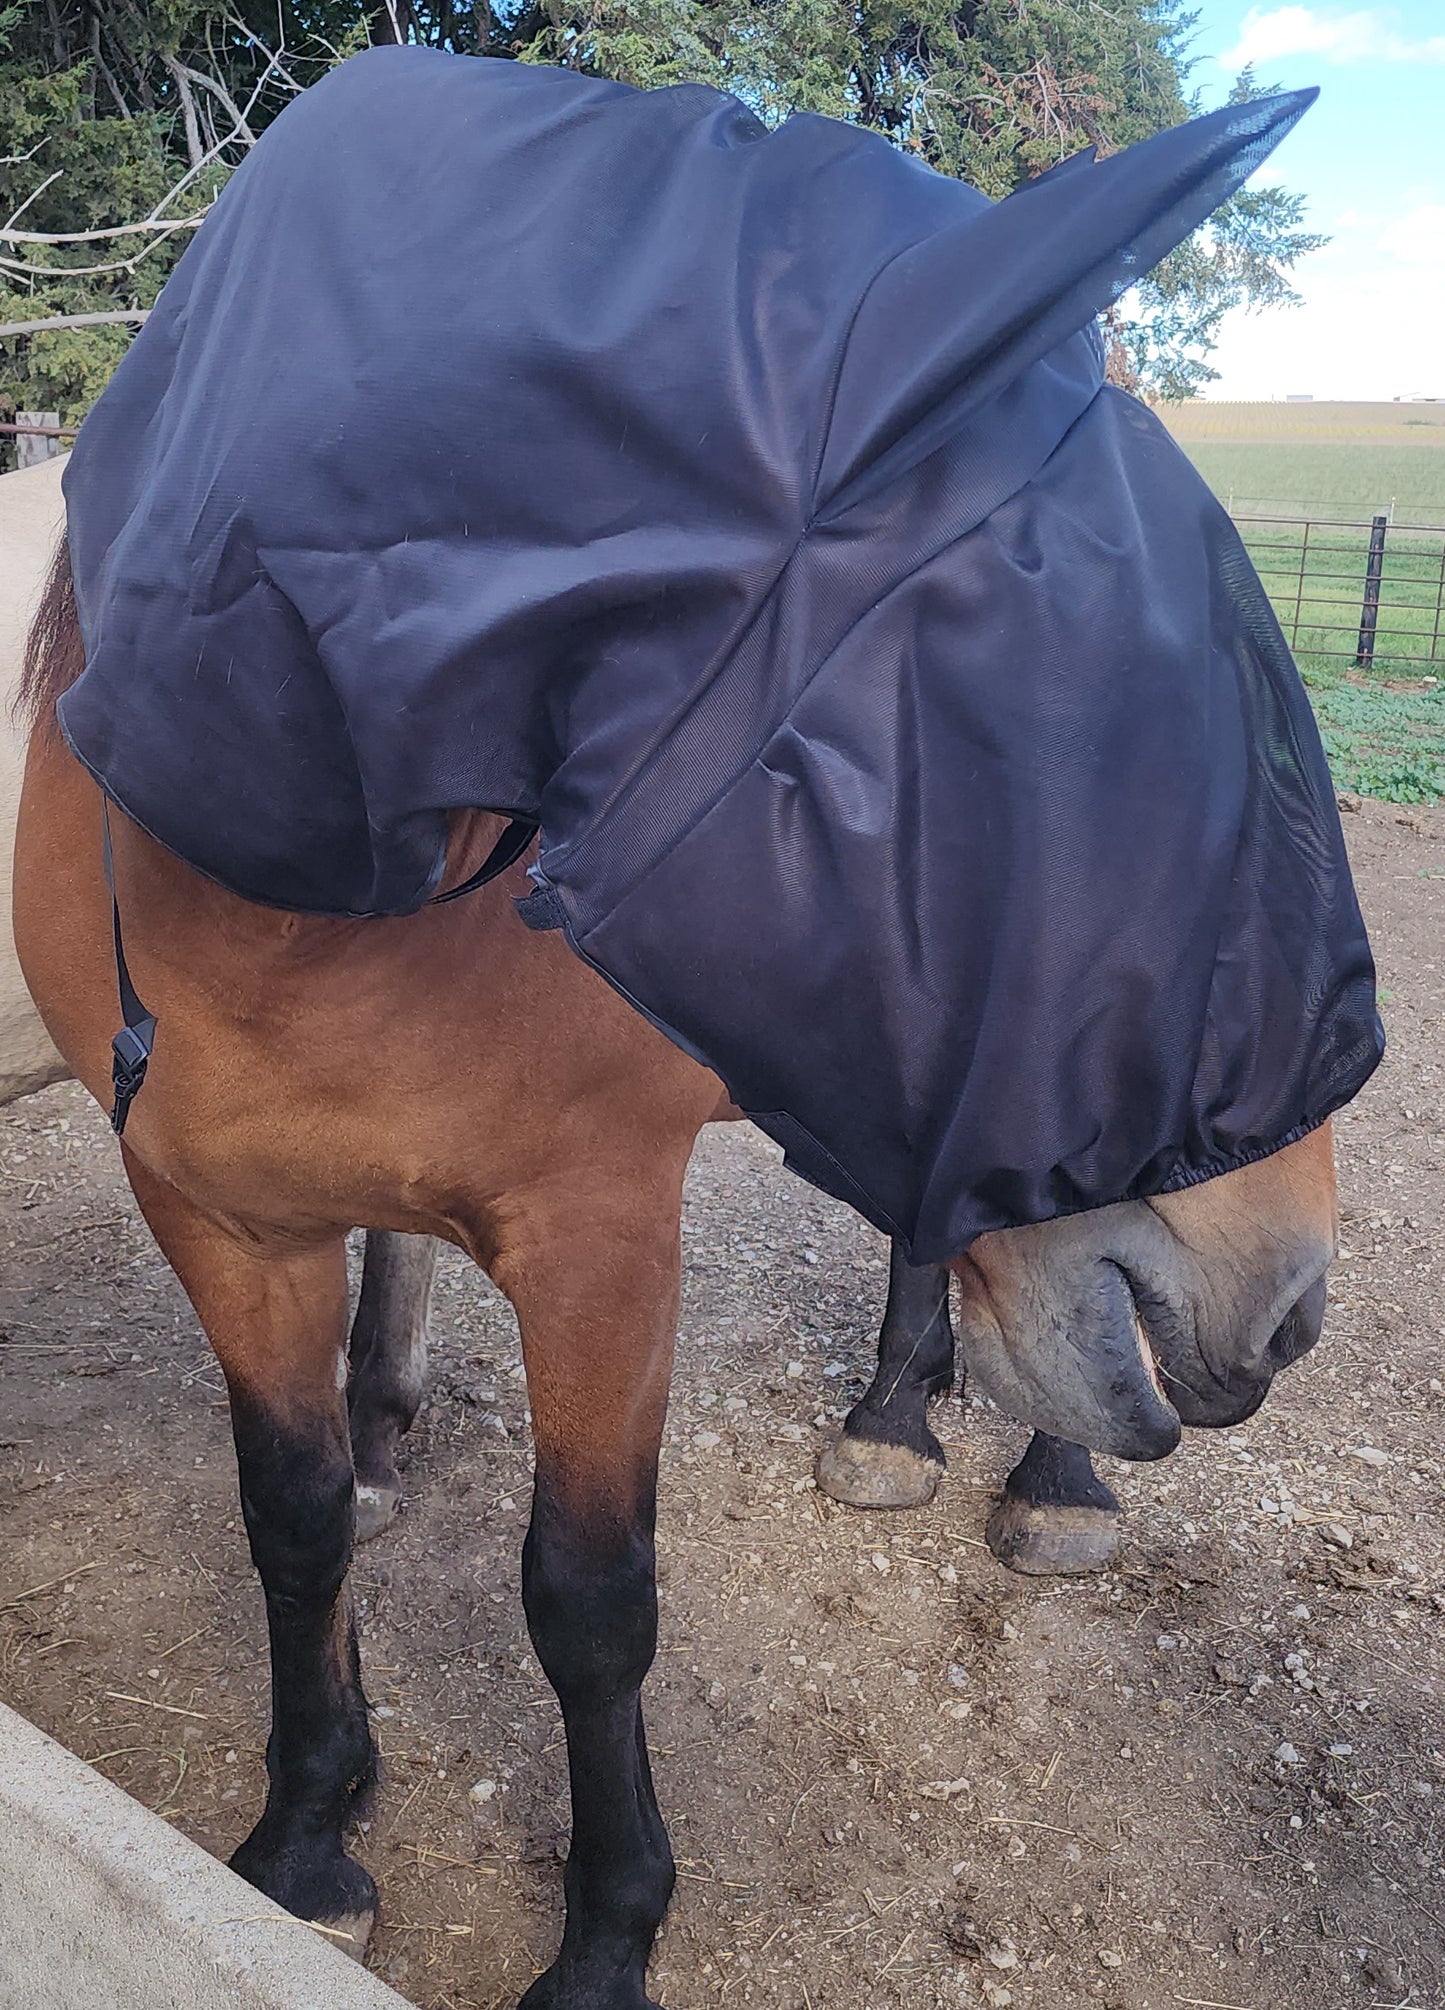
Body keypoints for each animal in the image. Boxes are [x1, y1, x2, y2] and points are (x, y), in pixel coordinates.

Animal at [16, 535, 1338, 2009]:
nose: (1282, 1289)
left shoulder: (602, 1252)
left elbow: (588, 1603)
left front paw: (605, 1942)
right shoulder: (221, 1223)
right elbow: (293, 1521)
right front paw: (305, 1839)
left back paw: (1046, 1477)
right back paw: (891, 1416)